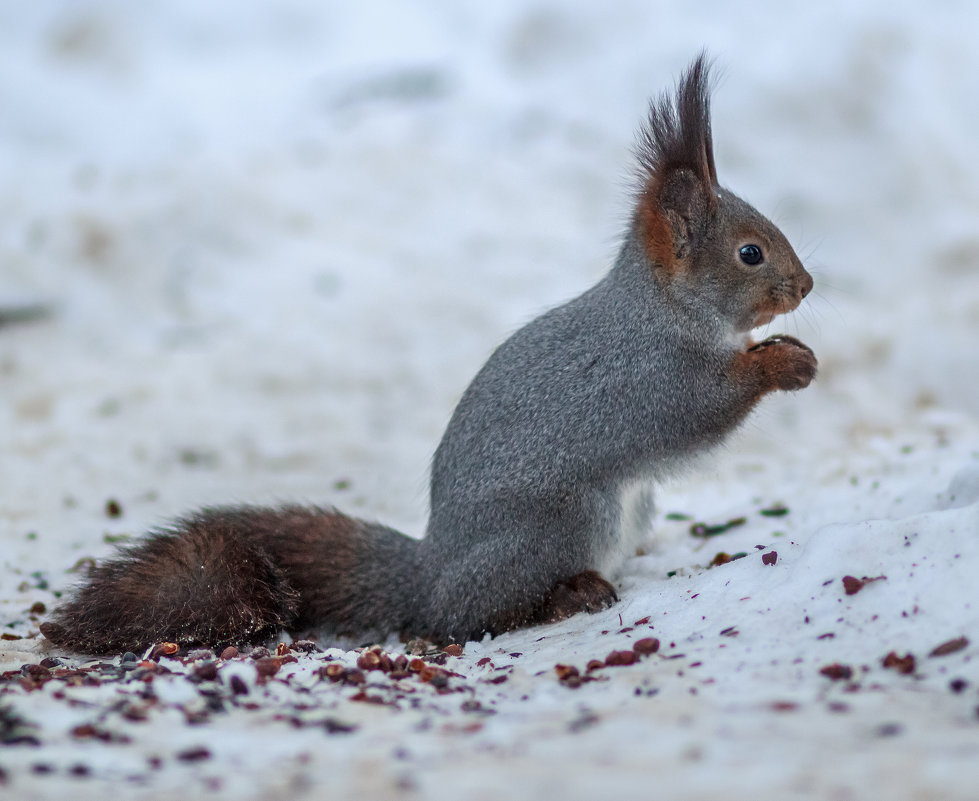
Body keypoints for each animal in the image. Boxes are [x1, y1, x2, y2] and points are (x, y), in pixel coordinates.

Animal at [40, 57, 820, 656]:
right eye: (750, 253)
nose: (807, 285)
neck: (663, 312)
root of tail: (432, 569)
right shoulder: (649, 380)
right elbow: (703, 412)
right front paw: (783, 366)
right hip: (566, 519)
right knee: (469, 617)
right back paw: (567, 596)